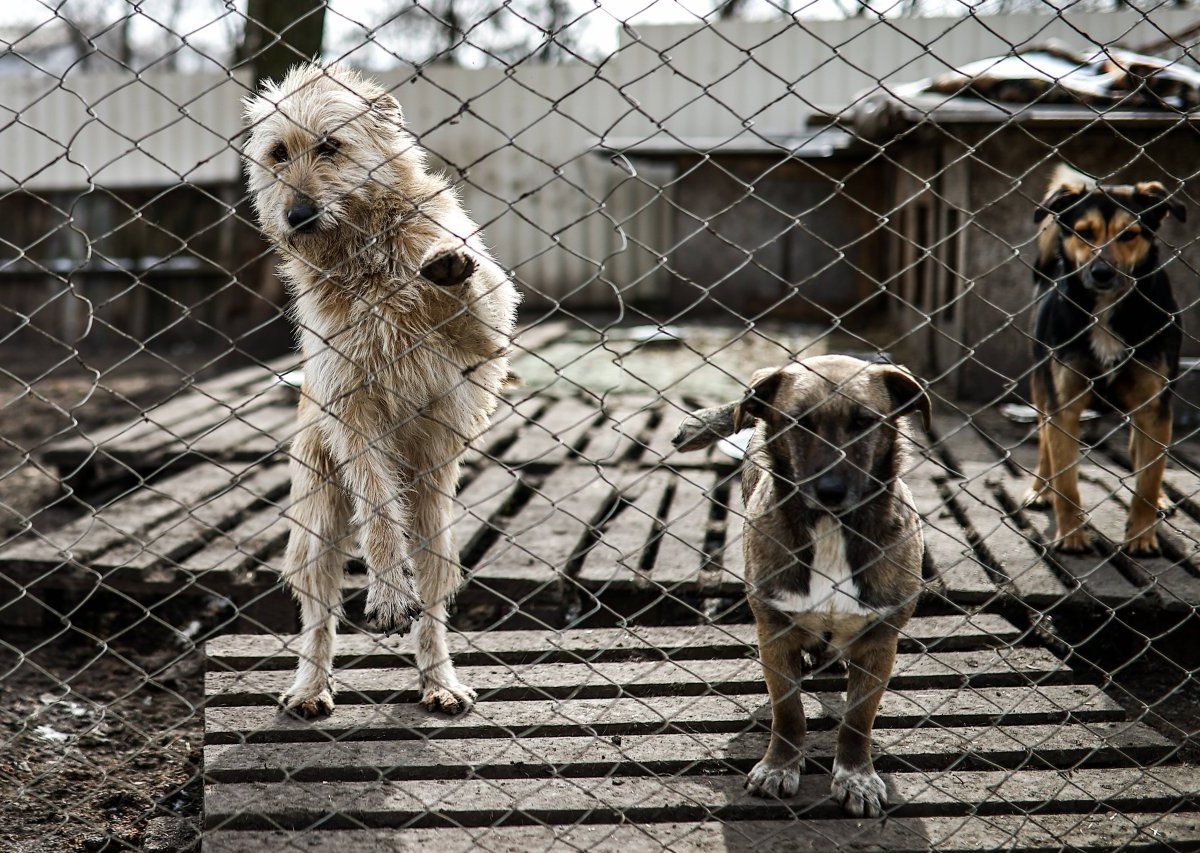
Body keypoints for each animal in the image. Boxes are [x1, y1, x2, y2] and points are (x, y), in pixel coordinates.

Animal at [244, 63, 520, 715]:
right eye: (278, 154)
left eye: (329, 146)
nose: (296, 214)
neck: (366, 255)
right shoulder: (353, 410)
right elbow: (375, 507)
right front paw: (389, 593)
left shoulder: (487, 337)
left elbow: (475, 300)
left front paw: (447, 267)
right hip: (316, 523)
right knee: (318, 612)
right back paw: (310, 687)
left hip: (437, 530)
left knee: (435, 608)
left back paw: (439, 681)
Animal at [676, 355, 926, 820]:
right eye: (798, 423)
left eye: (864, 422)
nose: (830, 491)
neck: (830, 529)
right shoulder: (774, 633)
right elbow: (788, 711)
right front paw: (779, 768)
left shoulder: (880, 641)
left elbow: (857, 719)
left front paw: (856, 776)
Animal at [1027, 165, 1185, 554]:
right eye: (1084, 233)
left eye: (1130, 234)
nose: (1102, 273)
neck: (1106, 309)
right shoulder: (1064, 404)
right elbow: (1066, 481)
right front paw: (1071, 534)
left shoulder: (1153, 405)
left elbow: (1148, 478)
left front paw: (1142, 536)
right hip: (1041, 385)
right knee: (1044, 443)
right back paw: (1040, 489)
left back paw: (1161, 501)